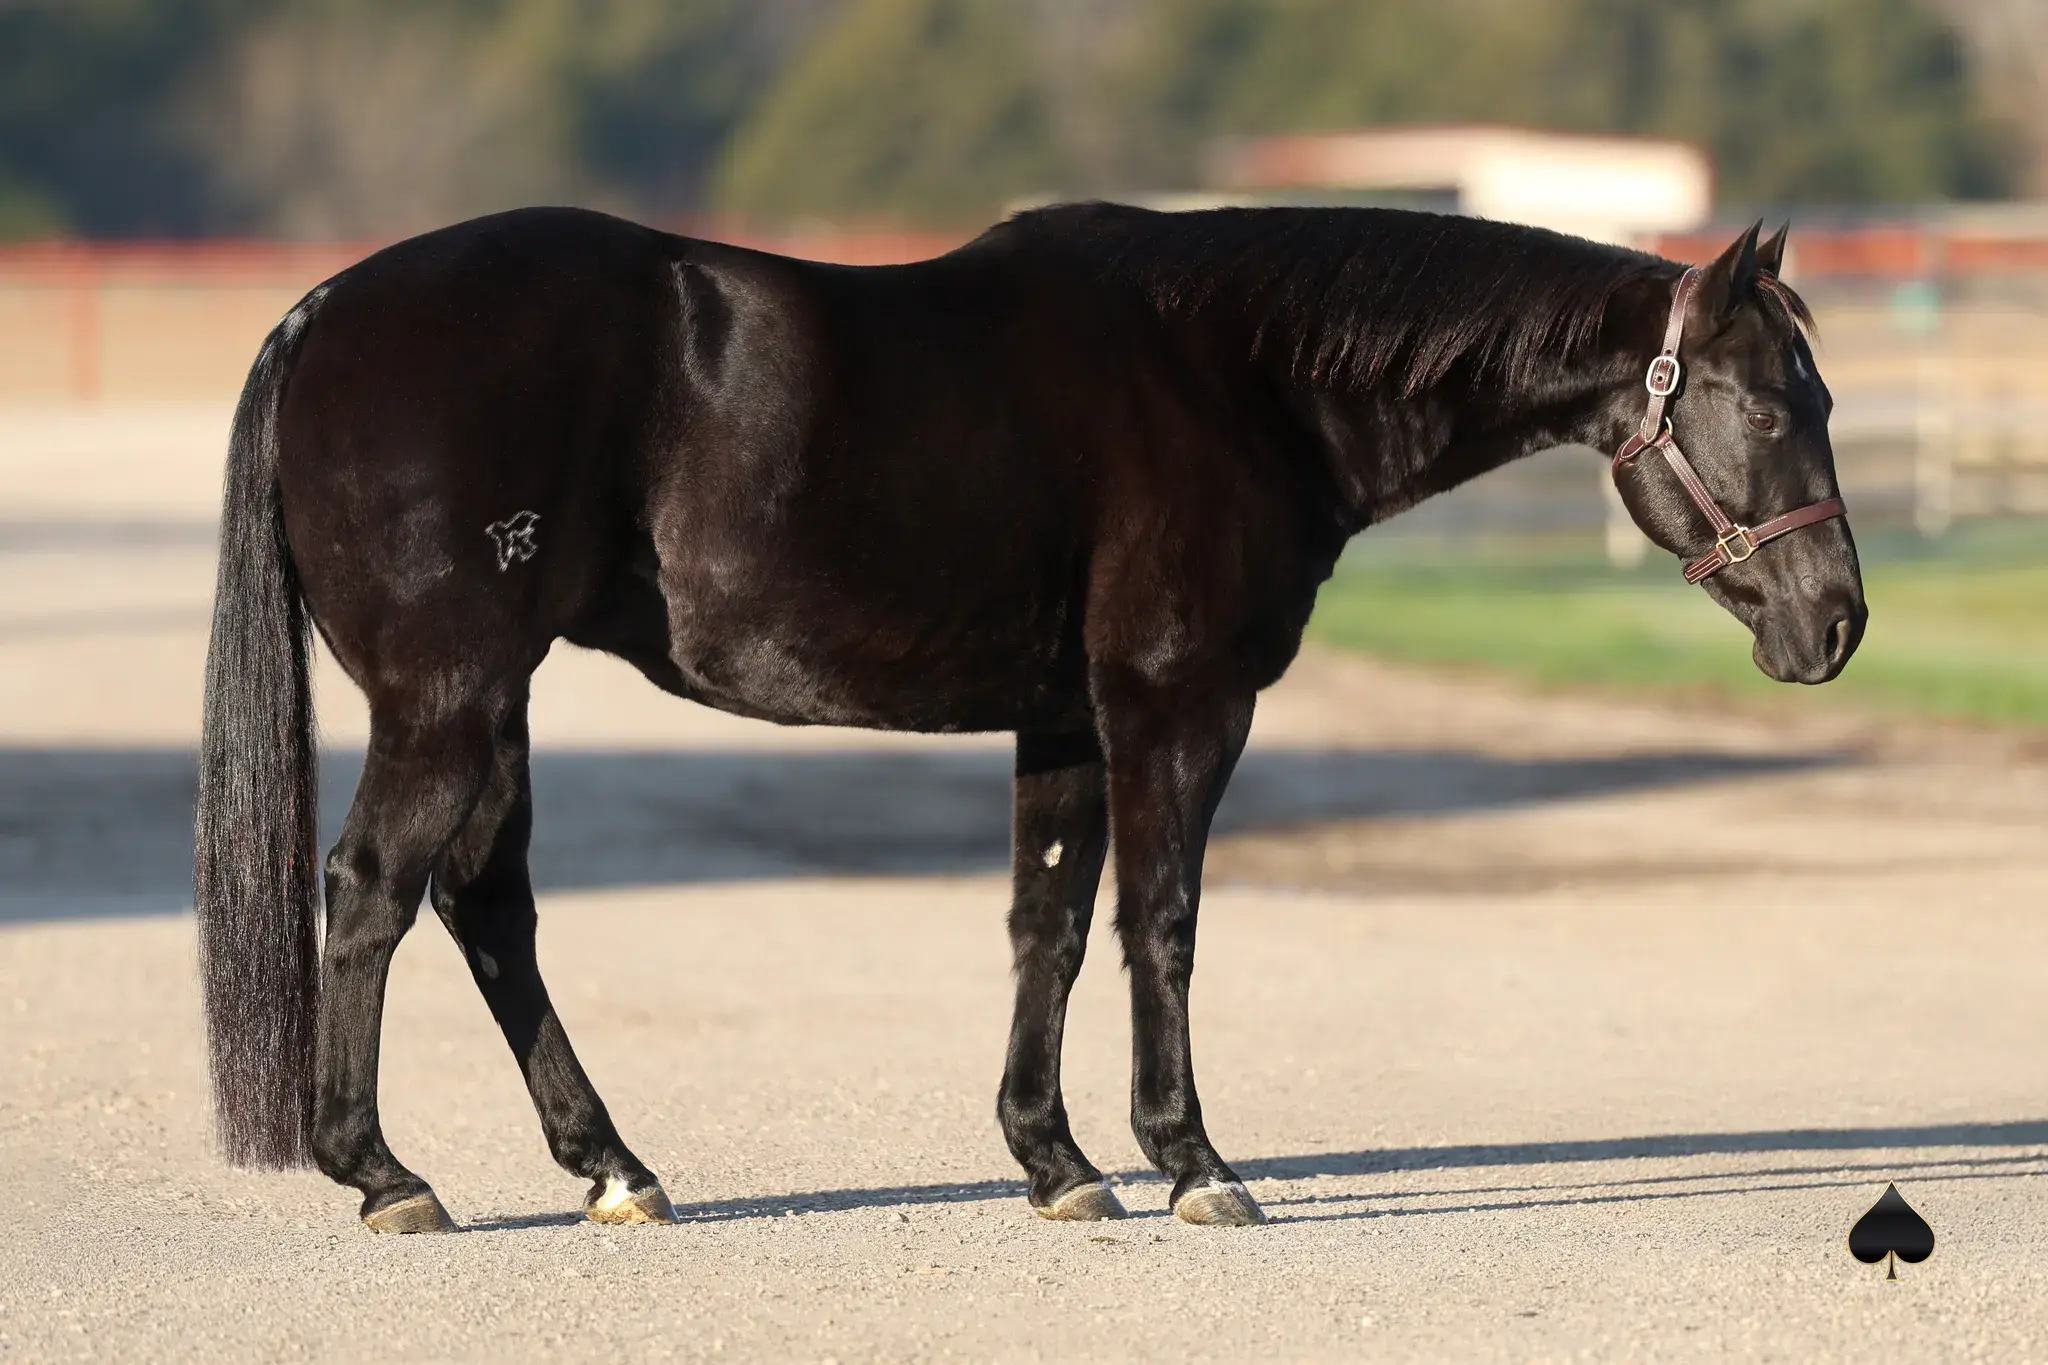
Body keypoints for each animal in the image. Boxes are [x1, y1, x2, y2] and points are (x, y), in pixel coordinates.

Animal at [194, 204, 1865, 1234]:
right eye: (1772, 402)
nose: (1838, 622)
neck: (1235, 372)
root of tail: (326, 310)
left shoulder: (1063, 721)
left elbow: (1047, 924)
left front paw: (1054, 1160)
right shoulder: (1176, 705)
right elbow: (1161, 922)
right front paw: (1192, 1161)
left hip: (491, 703)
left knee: (486, 905)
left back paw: (611, 1166)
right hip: (449, 698)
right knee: (374, 891)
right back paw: (385, 1173)